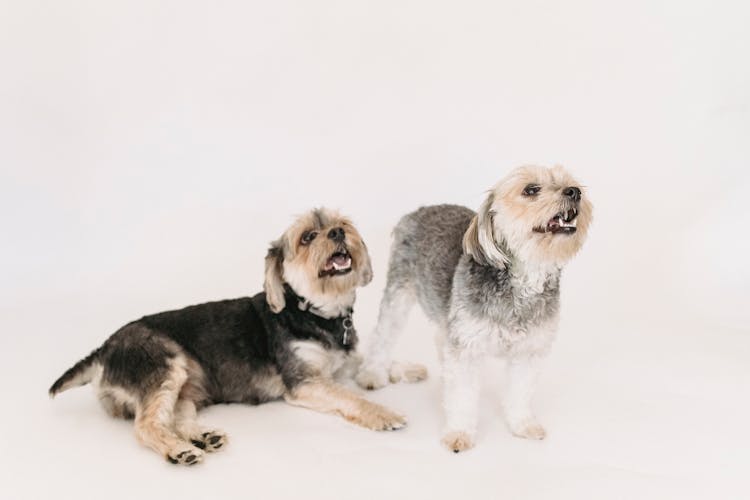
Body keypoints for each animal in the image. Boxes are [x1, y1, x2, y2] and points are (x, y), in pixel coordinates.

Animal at [51, 208, 418, 464]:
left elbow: (374, 361)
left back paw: (202, 437)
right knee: (147, 426)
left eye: (342, 223)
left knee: (173, 417)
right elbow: (350, 397)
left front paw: (411, 369)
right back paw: (179, 451)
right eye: (308, 237)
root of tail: (102, 350)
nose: (339, 232)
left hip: (186, 387)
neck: (315, 311)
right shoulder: (305, 382)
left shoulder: (345, 360)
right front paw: (383, 414)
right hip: (163, 365)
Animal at [358, 165, 592, 454]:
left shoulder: (528, 351)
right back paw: (372, 373)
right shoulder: (466, 349)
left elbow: (520, 393)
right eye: (531, 190)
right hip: (400, 290)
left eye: (570, 182)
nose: (575, 192)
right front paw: (459, 433)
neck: (522, 283)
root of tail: (419, 210)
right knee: (384, 334)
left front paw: (523, 425)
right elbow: (463, 396)